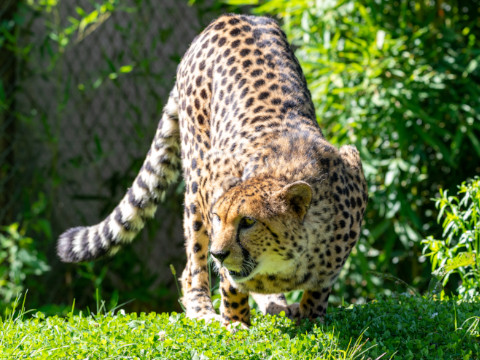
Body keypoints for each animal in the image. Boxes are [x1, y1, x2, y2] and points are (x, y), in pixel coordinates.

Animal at [58, 13, 370, 326]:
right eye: (219, 218)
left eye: (248, 222)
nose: (219, 253)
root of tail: (232, 16)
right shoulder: (212, 176)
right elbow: (231, 286)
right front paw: (235, 323)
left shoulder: (352, 166)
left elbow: (319, 288)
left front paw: (310, 315)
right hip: (196, 175)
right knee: (192, 264)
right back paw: (202, 309)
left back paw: (276, 304)